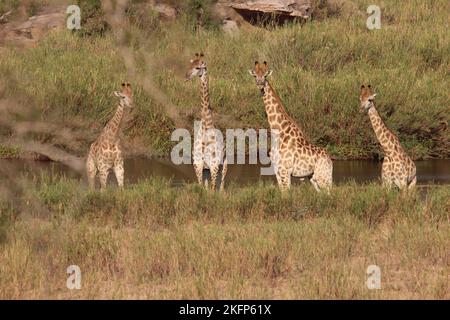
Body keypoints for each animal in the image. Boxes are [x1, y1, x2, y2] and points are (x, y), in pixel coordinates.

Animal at [186, 53, 229, 191]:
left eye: (198, 67)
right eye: (189, 65)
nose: (186, 76)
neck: (206, 127)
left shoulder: (214, 166)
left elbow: (213, 189)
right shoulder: (198, 165)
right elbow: (202, 189)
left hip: (224, 164)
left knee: (221, 186)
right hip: (206, 169)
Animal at [248, 62, 332, 192]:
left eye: (265, 76)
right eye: (255, 75)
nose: (260, 84)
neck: (279, 131)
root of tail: (331, 160)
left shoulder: (285, 171)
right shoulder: (277, 170)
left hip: (323, 176)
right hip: (313, 177)